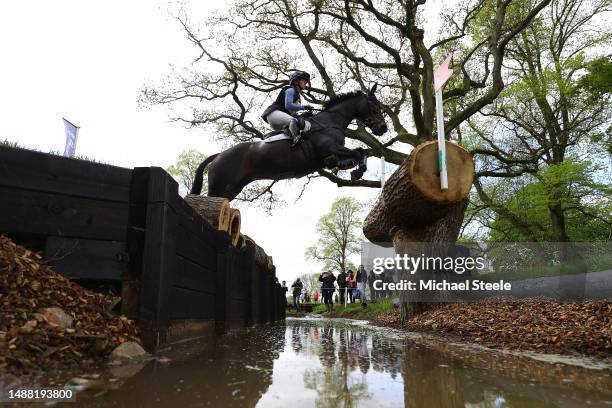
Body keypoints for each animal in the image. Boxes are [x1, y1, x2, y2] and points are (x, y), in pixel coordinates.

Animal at [190, 82, 388, 200]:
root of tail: (218, 156)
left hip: (231, 188)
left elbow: (360, 152)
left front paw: (350, 167)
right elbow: (357, 152)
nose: (383, 128)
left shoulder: (334, 152)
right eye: (373, 106)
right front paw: (357, 172)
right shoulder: (330, 148)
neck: (331, 121)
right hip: (220, 186)